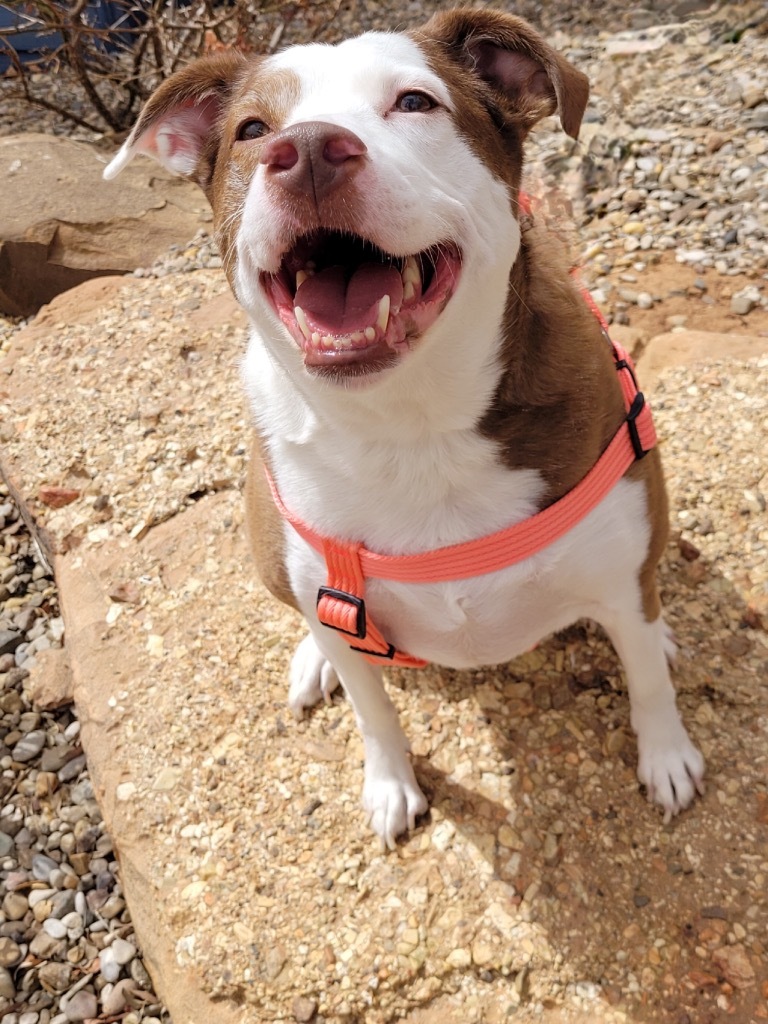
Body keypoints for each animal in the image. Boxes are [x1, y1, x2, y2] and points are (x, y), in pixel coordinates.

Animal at [105, 7, 705, 848]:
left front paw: (667, 755)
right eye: (254, 129)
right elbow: (373, 710)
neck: (413, 426)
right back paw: (314, 660)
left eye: (415, 102)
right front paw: (390, 783)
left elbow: (646, 679)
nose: (307, 152)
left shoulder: (621, 572)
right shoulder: (334, 604)